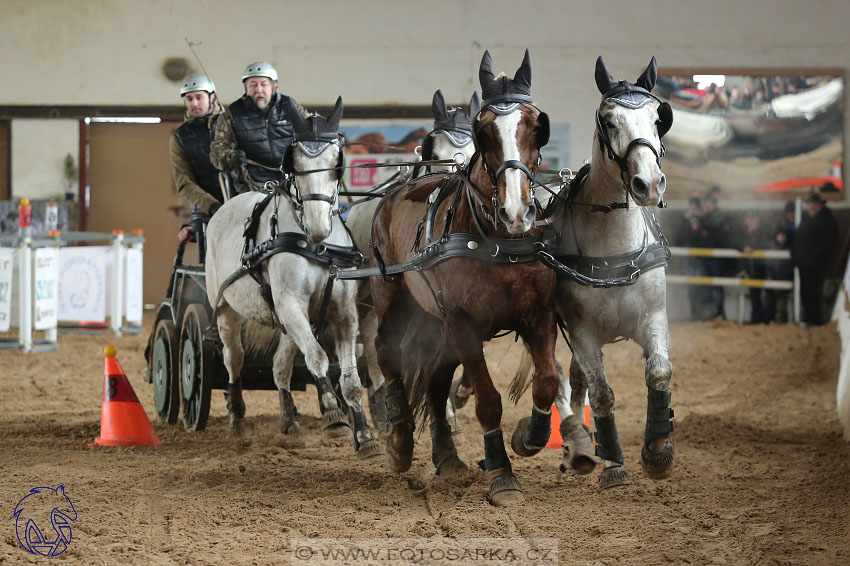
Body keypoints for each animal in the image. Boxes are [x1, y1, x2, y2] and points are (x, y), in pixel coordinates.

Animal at [204, 97, 380, 462]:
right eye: (295, 162)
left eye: (336, 162)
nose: (317, 225)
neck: (317, 246)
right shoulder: (290, 304)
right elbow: (318, 359)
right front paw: (334, 417)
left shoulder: (343, 312)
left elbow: (350, 378)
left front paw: (365, 435)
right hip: (227, 309)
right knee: (234, 359)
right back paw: (237, 421)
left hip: (286, 320)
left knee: (279, 366)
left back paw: (290, 421)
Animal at [370, 51, 556, 508]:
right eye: (483, 130)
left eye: (536, 125)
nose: (516, 210)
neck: (500, 240)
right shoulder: (463, 324)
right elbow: (488, 400)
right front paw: (503, 474)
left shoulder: (538, 313)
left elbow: (546, 381)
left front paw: (529, 437)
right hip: (394, 296)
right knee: (387, 352)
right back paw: (400, 440)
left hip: (437, 323)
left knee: (436, 380)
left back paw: (448, 457)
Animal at [544, 57, 676, 490]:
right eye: (608, 120)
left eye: (657, 118)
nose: (649, 183)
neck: (615, 249)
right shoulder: (582, 331)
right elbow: (602, 394)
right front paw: (614, 464)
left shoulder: (653, 317)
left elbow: (659, 373)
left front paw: (657, 451)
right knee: (557, 379)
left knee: (573, 379)